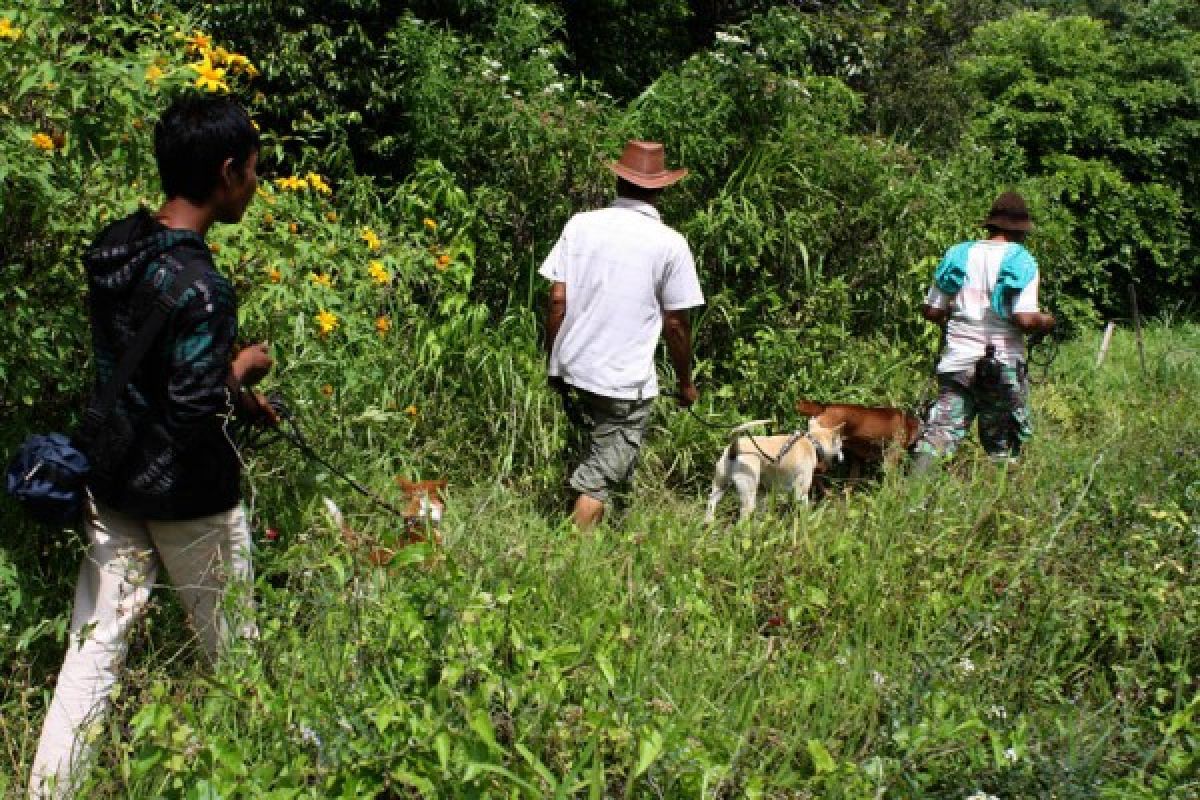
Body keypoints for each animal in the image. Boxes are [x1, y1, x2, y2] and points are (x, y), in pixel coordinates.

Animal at [700, 419, 844, 525]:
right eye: (840, 445)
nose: (842, 459)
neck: (813, 442)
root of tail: (735, 446)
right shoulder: (801, 492)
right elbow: (803, 509)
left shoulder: (765, 491)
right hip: (748, 490)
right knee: (744, 513)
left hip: (720, 485)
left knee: (711, 501)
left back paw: (709, 523)